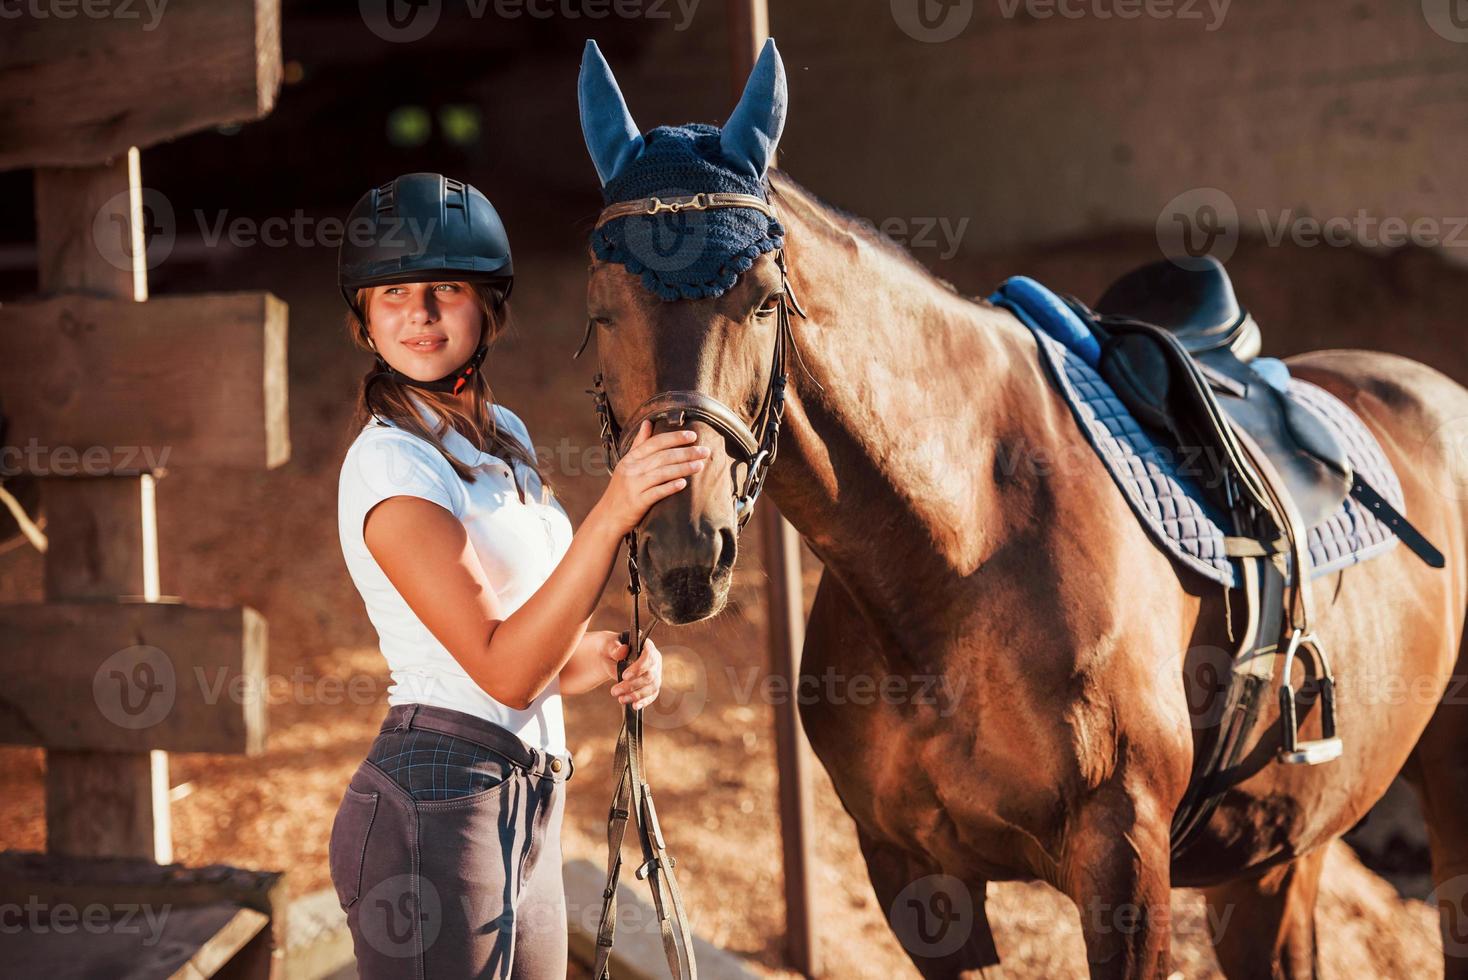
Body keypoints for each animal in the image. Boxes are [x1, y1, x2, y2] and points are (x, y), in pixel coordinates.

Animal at [578, 51, 1462, 979]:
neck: (961, 549)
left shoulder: (1125, 865)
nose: (684, 551)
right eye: (600, 306)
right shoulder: (913, 875)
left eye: (760, 298)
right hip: (1276, 855)